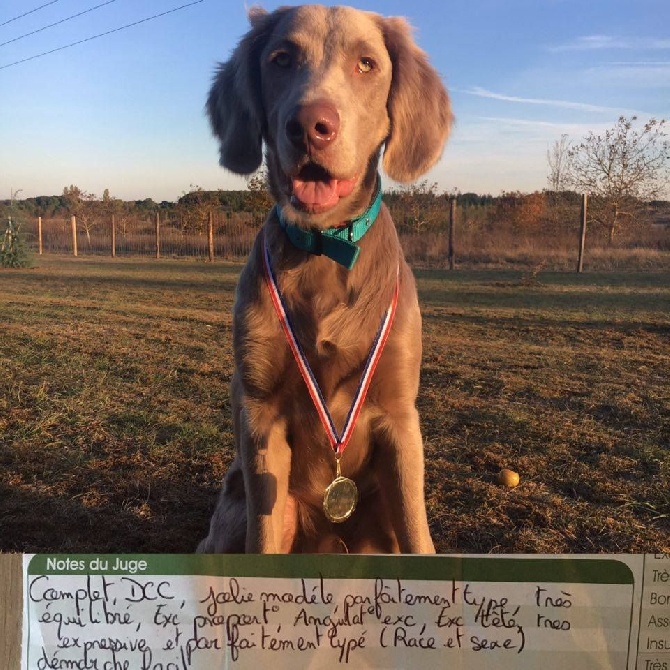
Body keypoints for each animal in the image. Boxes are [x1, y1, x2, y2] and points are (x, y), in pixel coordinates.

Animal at [197, 2, 454, 552]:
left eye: (366, 64)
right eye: (281, 58)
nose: (310, 126)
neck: (326, 247)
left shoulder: (399, 415)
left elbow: (418, 534)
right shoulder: (259, 411)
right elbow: (263, 542)